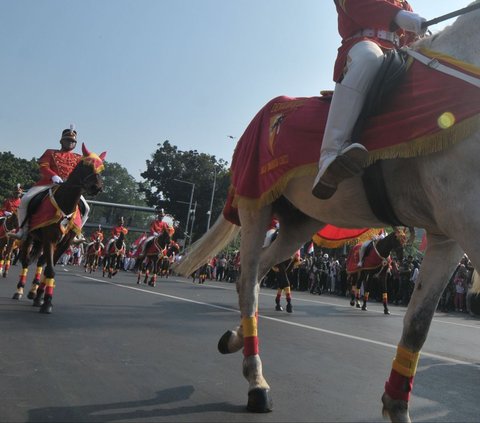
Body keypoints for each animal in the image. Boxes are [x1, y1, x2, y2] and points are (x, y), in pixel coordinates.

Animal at [13, 146, 106, 314]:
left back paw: (33, 291)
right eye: (86, 165)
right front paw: (46, 302)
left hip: (41, 241)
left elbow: (49, 267)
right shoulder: (50, 239)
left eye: (101, 168)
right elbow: (50, 269)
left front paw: (41, 297)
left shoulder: (64, 243)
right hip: (30, 237)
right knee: (25, 261)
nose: (97, 187)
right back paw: (19, 291)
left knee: (39, 262)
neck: (66, 204)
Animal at [174, 2, 480, 420]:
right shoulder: (467, 219)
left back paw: (238, 338)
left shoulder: (448, 235)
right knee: (249, 280)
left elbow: (417, 324)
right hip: (256, 207)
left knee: (255, 275)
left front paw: (397, 406)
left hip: (298, 224)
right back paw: (257, 382)